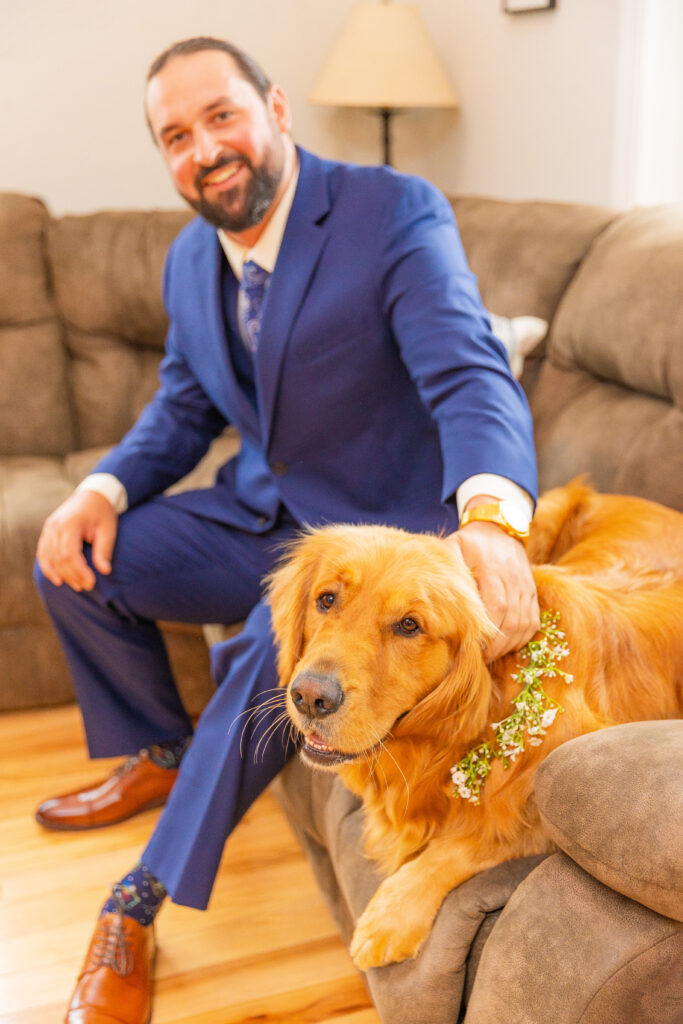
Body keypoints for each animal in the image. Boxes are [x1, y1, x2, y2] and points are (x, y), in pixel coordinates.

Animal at [268, 483, 683, 970]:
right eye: (326, 599)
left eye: (409, 625)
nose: (310, 696)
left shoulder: (543, 808)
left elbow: (470, 840)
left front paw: (391, 915)